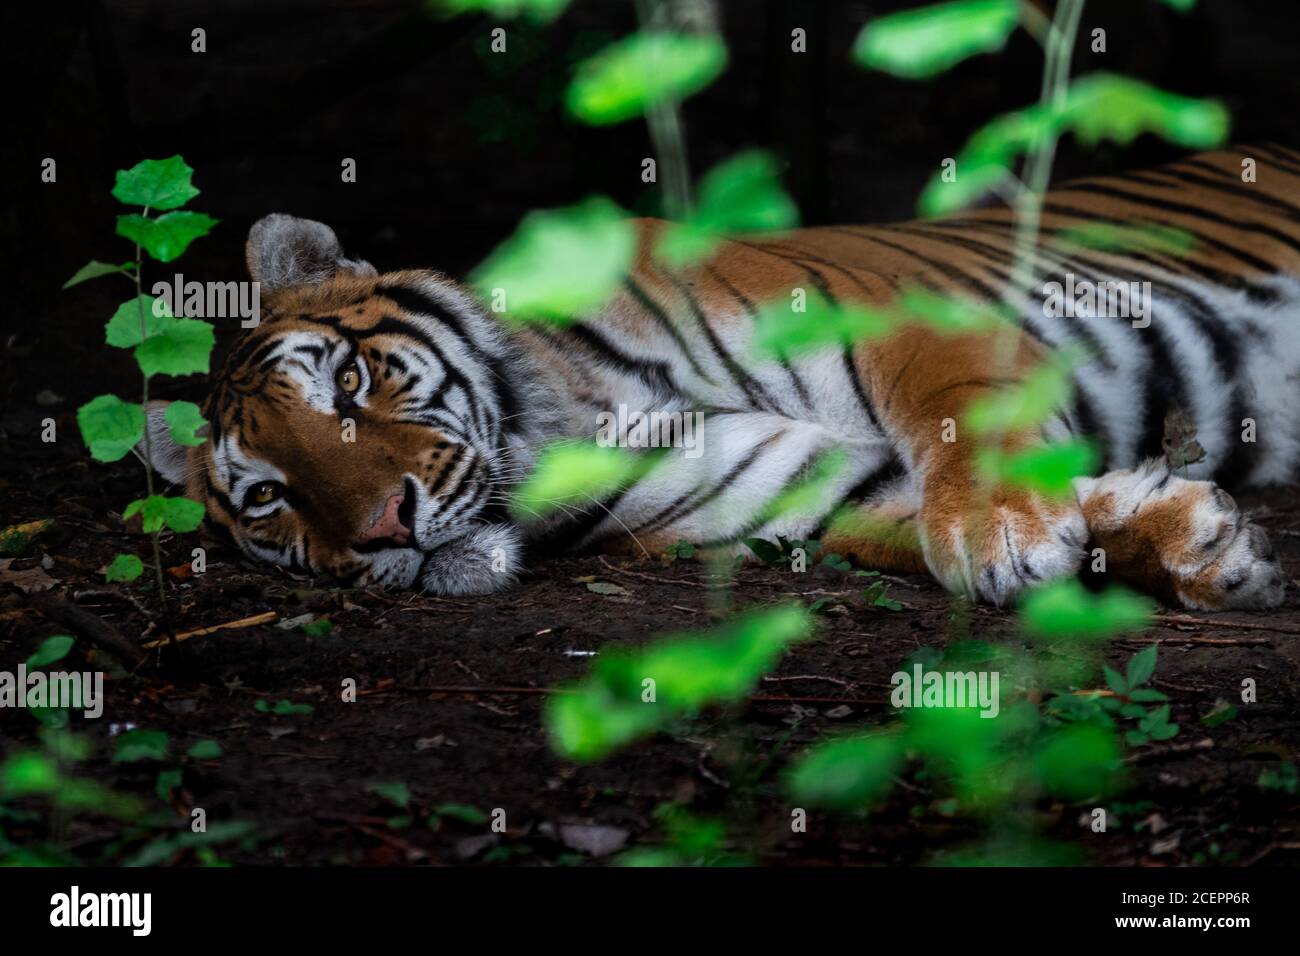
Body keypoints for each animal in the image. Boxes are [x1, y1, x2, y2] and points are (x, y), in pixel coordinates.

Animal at [138, 145, 1300, 610]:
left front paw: (1001, 534)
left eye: (345, 383)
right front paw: (1198, 545)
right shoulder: (807, 486)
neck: (578, 416)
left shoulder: (916, 325)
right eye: (267, 496)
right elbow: (899, 525)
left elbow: (956, 424)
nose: (385, 527)